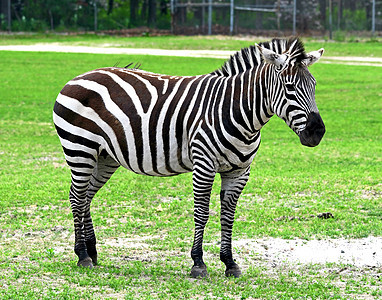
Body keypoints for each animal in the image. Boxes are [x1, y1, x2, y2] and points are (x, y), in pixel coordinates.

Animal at [51, 37, 326, 278]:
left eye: (313, 85)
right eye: (290, 88)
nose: (317, 132)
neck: (238, 112)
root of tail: (79, 77)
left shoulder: (239, 171)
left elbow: (228, 216)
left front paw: (230, 263)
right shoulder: (204, 165)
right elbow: (202, 212)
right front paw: (198, 263)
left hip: (105, 157)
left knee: (86, 197)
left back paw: (92, 252)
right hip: (80, 148)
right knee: (76, 197)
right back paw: (82, 255)